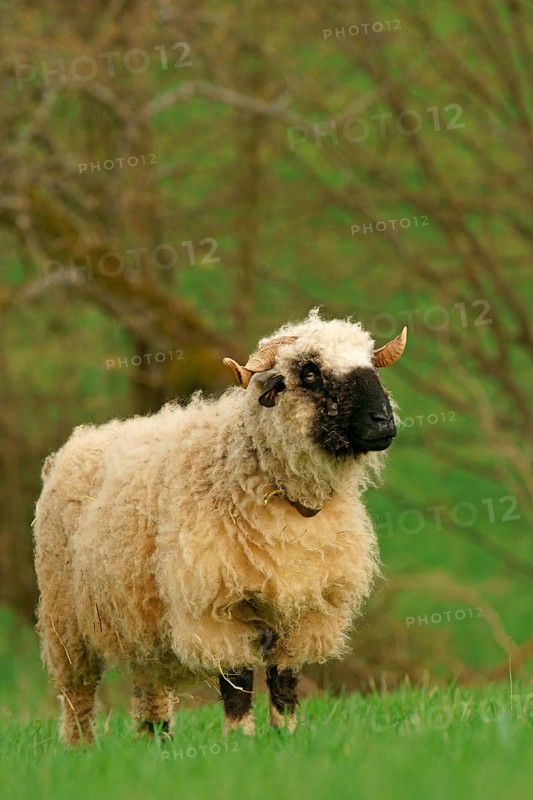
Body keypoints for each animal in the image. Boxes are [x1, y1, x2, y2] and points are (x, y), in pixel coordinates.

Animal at [33, 309, 407, 744]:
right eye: (310, 372)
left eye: (370, 365)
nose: (383, 422)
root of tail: (76, 443)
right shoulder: (215, 606)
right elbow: (238, 681)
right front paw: (240, 742)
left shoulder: (306, 610)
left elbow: (284, 681)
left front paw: (285, 737)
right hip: (64, 617)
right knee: (76, 692)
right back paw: (82, 748)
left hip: (142, 615)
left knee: (150, 683)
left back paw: (156, 742)